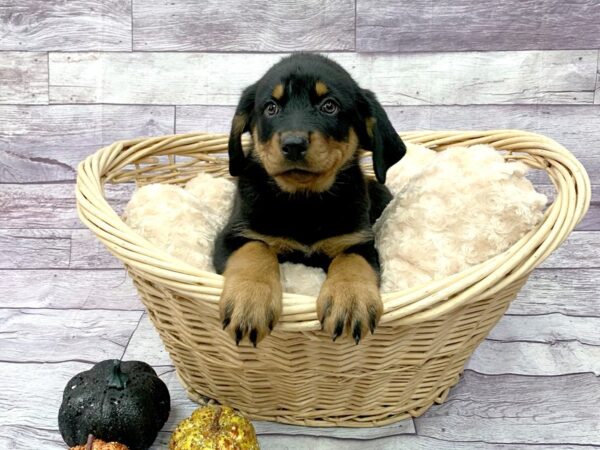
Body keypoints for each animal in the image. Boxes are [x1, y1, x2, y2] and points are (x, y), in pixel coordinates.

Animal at [213, 53, 406, 348]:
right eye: (270, 108)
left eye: (329, 106)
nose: (293, 144)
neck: (304, 203)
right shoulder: (231, 235)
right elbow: (255, 249)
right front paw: (249, 300)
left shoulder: (359, 241)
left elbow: (352, 261)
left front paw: (351, 300)